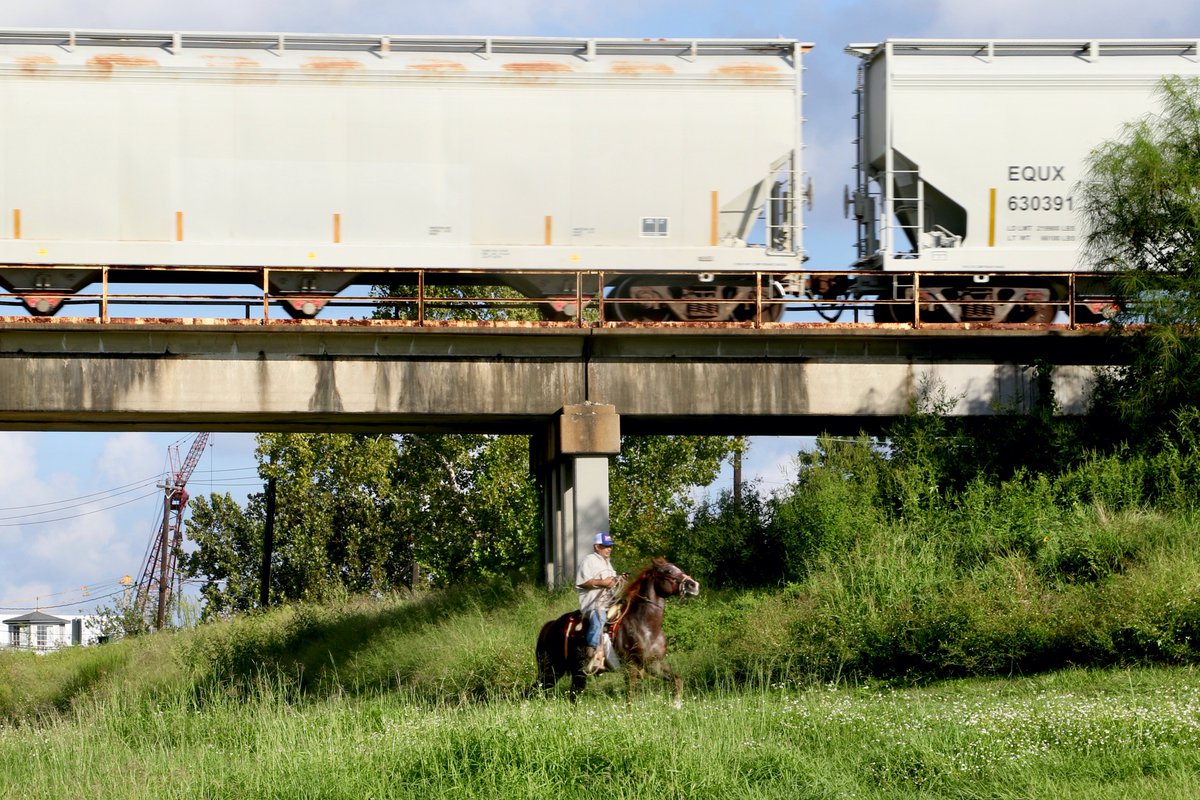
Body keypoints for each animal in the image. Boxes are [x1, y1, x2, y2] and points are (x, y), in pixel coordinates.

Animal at [537, 556, 700, 705]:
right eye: (668, 571)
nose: (694, 585)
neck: (646, 627)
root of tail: (550, 626)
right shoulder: (631, 667)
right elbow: (630, 698)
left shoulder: (655, 664)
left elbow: (677, 680)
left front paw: (676, 705)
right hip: (552, 670)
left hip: (574, 672)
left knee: (571, 695)